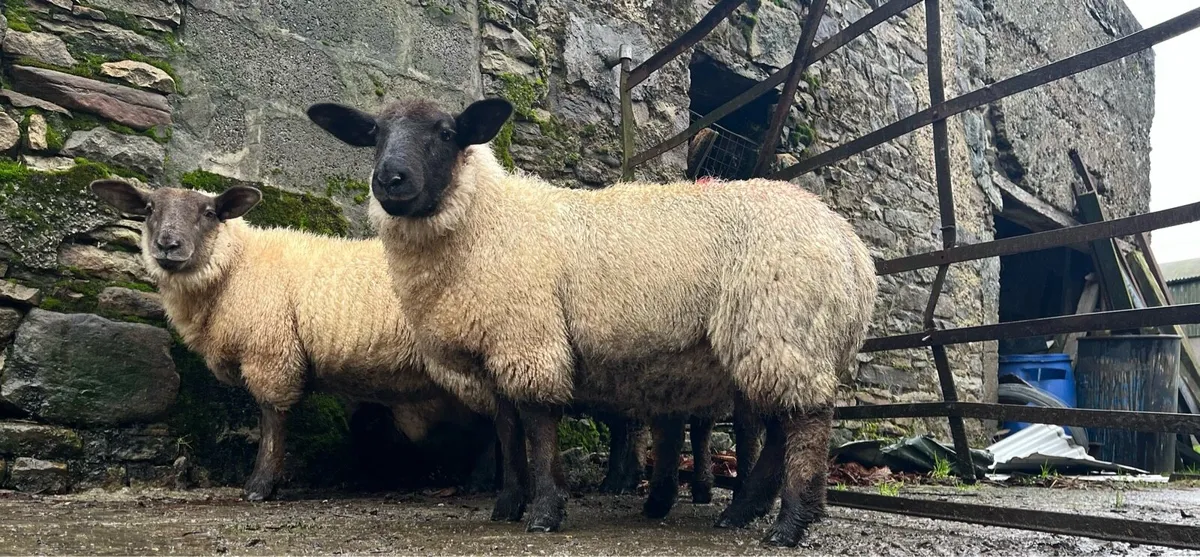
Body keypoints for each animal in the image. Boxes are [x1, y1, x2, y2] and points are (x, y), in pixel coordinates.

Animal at [305, 96, 877, 546]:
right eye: (375, 135)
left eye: (446, 134)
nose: (390, 180)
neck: (485, 222)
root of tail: (853, 250)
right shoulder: (497, 350)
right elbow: (507, 429)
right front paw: (507, 506)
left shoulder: (528, 334)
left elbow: (537, 426)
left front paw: (544, 512)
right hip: (783, 338)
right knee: (781, 427)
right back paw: (742, 511)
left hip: (781, 325)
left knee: (806, 423)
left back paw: (790, 524)